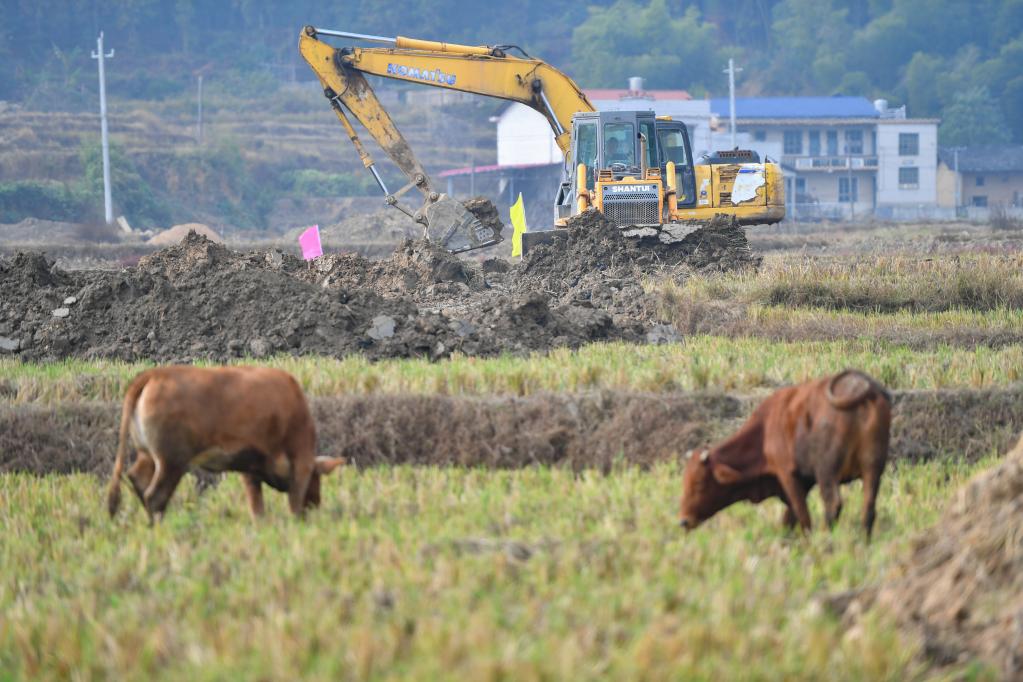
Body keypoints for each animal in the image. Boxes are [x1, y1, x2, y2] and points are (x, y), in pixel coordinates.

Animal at [107, 368, 341, 523]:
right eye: (317, 478)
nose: (316, 505)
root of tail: (154, 374)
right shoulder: (300, 457)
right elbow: (295, 497)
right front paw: (297, 523)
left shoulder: (250, 466)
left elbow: (256, 504)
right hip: (171, 461)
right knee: (155, 495)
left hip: (147, 455)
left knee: (137, 477)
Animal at [679, 370, 887, 535]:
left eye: (699, 483)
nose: (684, 521)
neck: (765, 429)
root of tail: (861, 387)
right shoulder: (803, 483)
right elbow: (790, 519)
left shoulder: (788, 475)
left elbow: (802, 516)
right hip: (872, 469)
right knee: (869, 509)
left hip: (827, 472)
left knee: (833, 504)